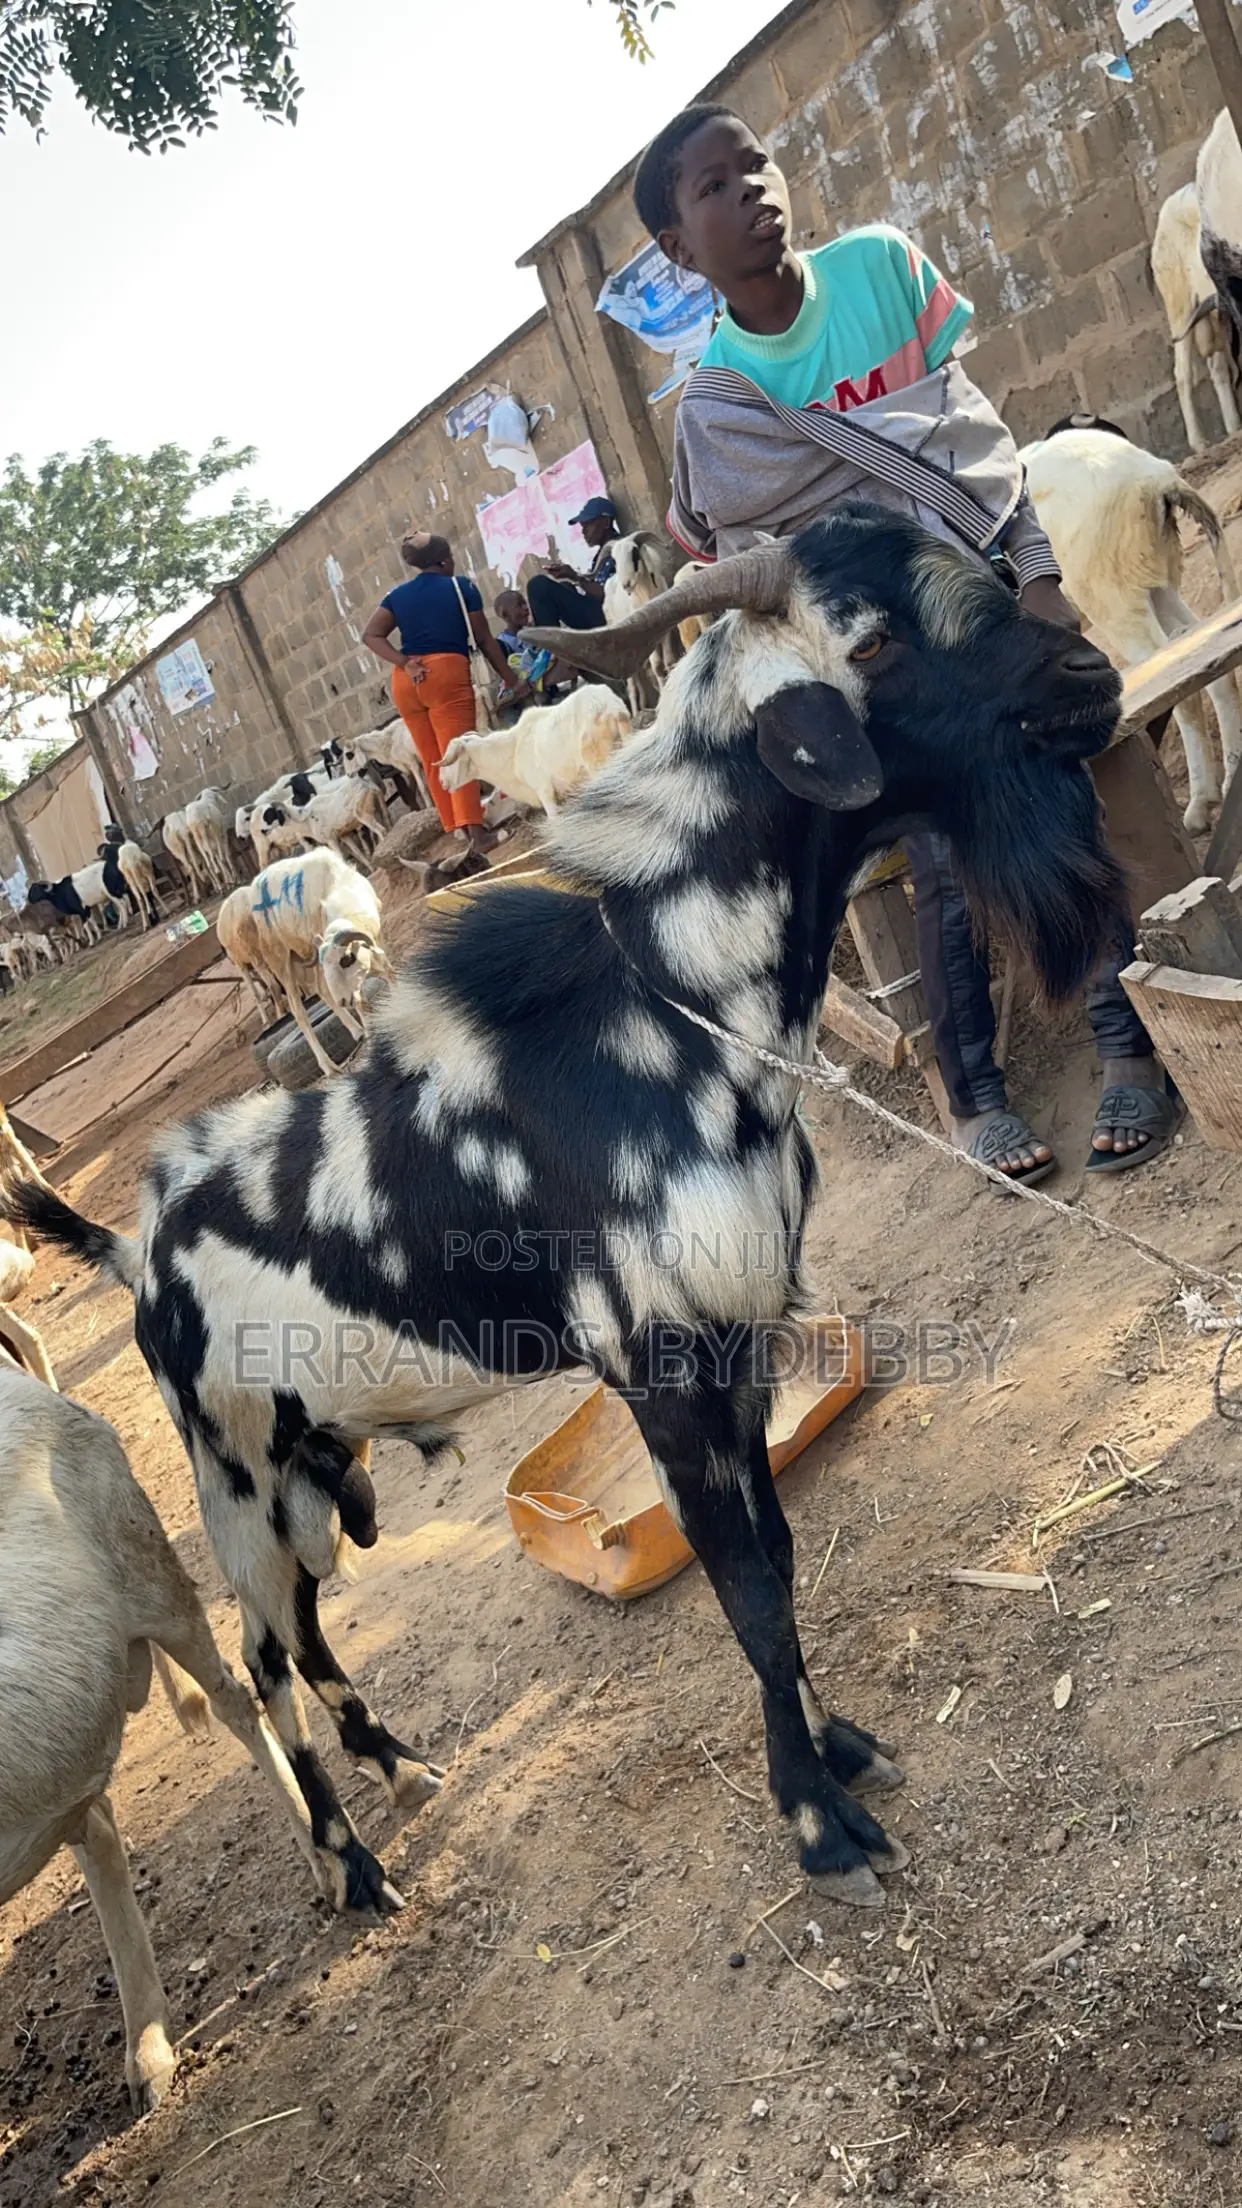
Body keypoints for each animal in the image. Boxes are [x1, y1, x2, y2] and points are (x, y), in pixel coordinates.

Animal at [440, 685, 633, 817]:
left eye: (453, 759)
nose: (443, 783)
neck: (512, 752)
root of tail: (610, 707)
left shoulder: (544, 790)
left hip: (597, 761)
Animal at [1020, 424, 1241, 832]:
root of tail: (1158, 477)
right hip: (1153, 576)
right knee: (1203, 660)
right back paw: (1226, 782)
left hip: (1113, 588)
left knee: (1177, 682)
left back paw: (1199, 807)